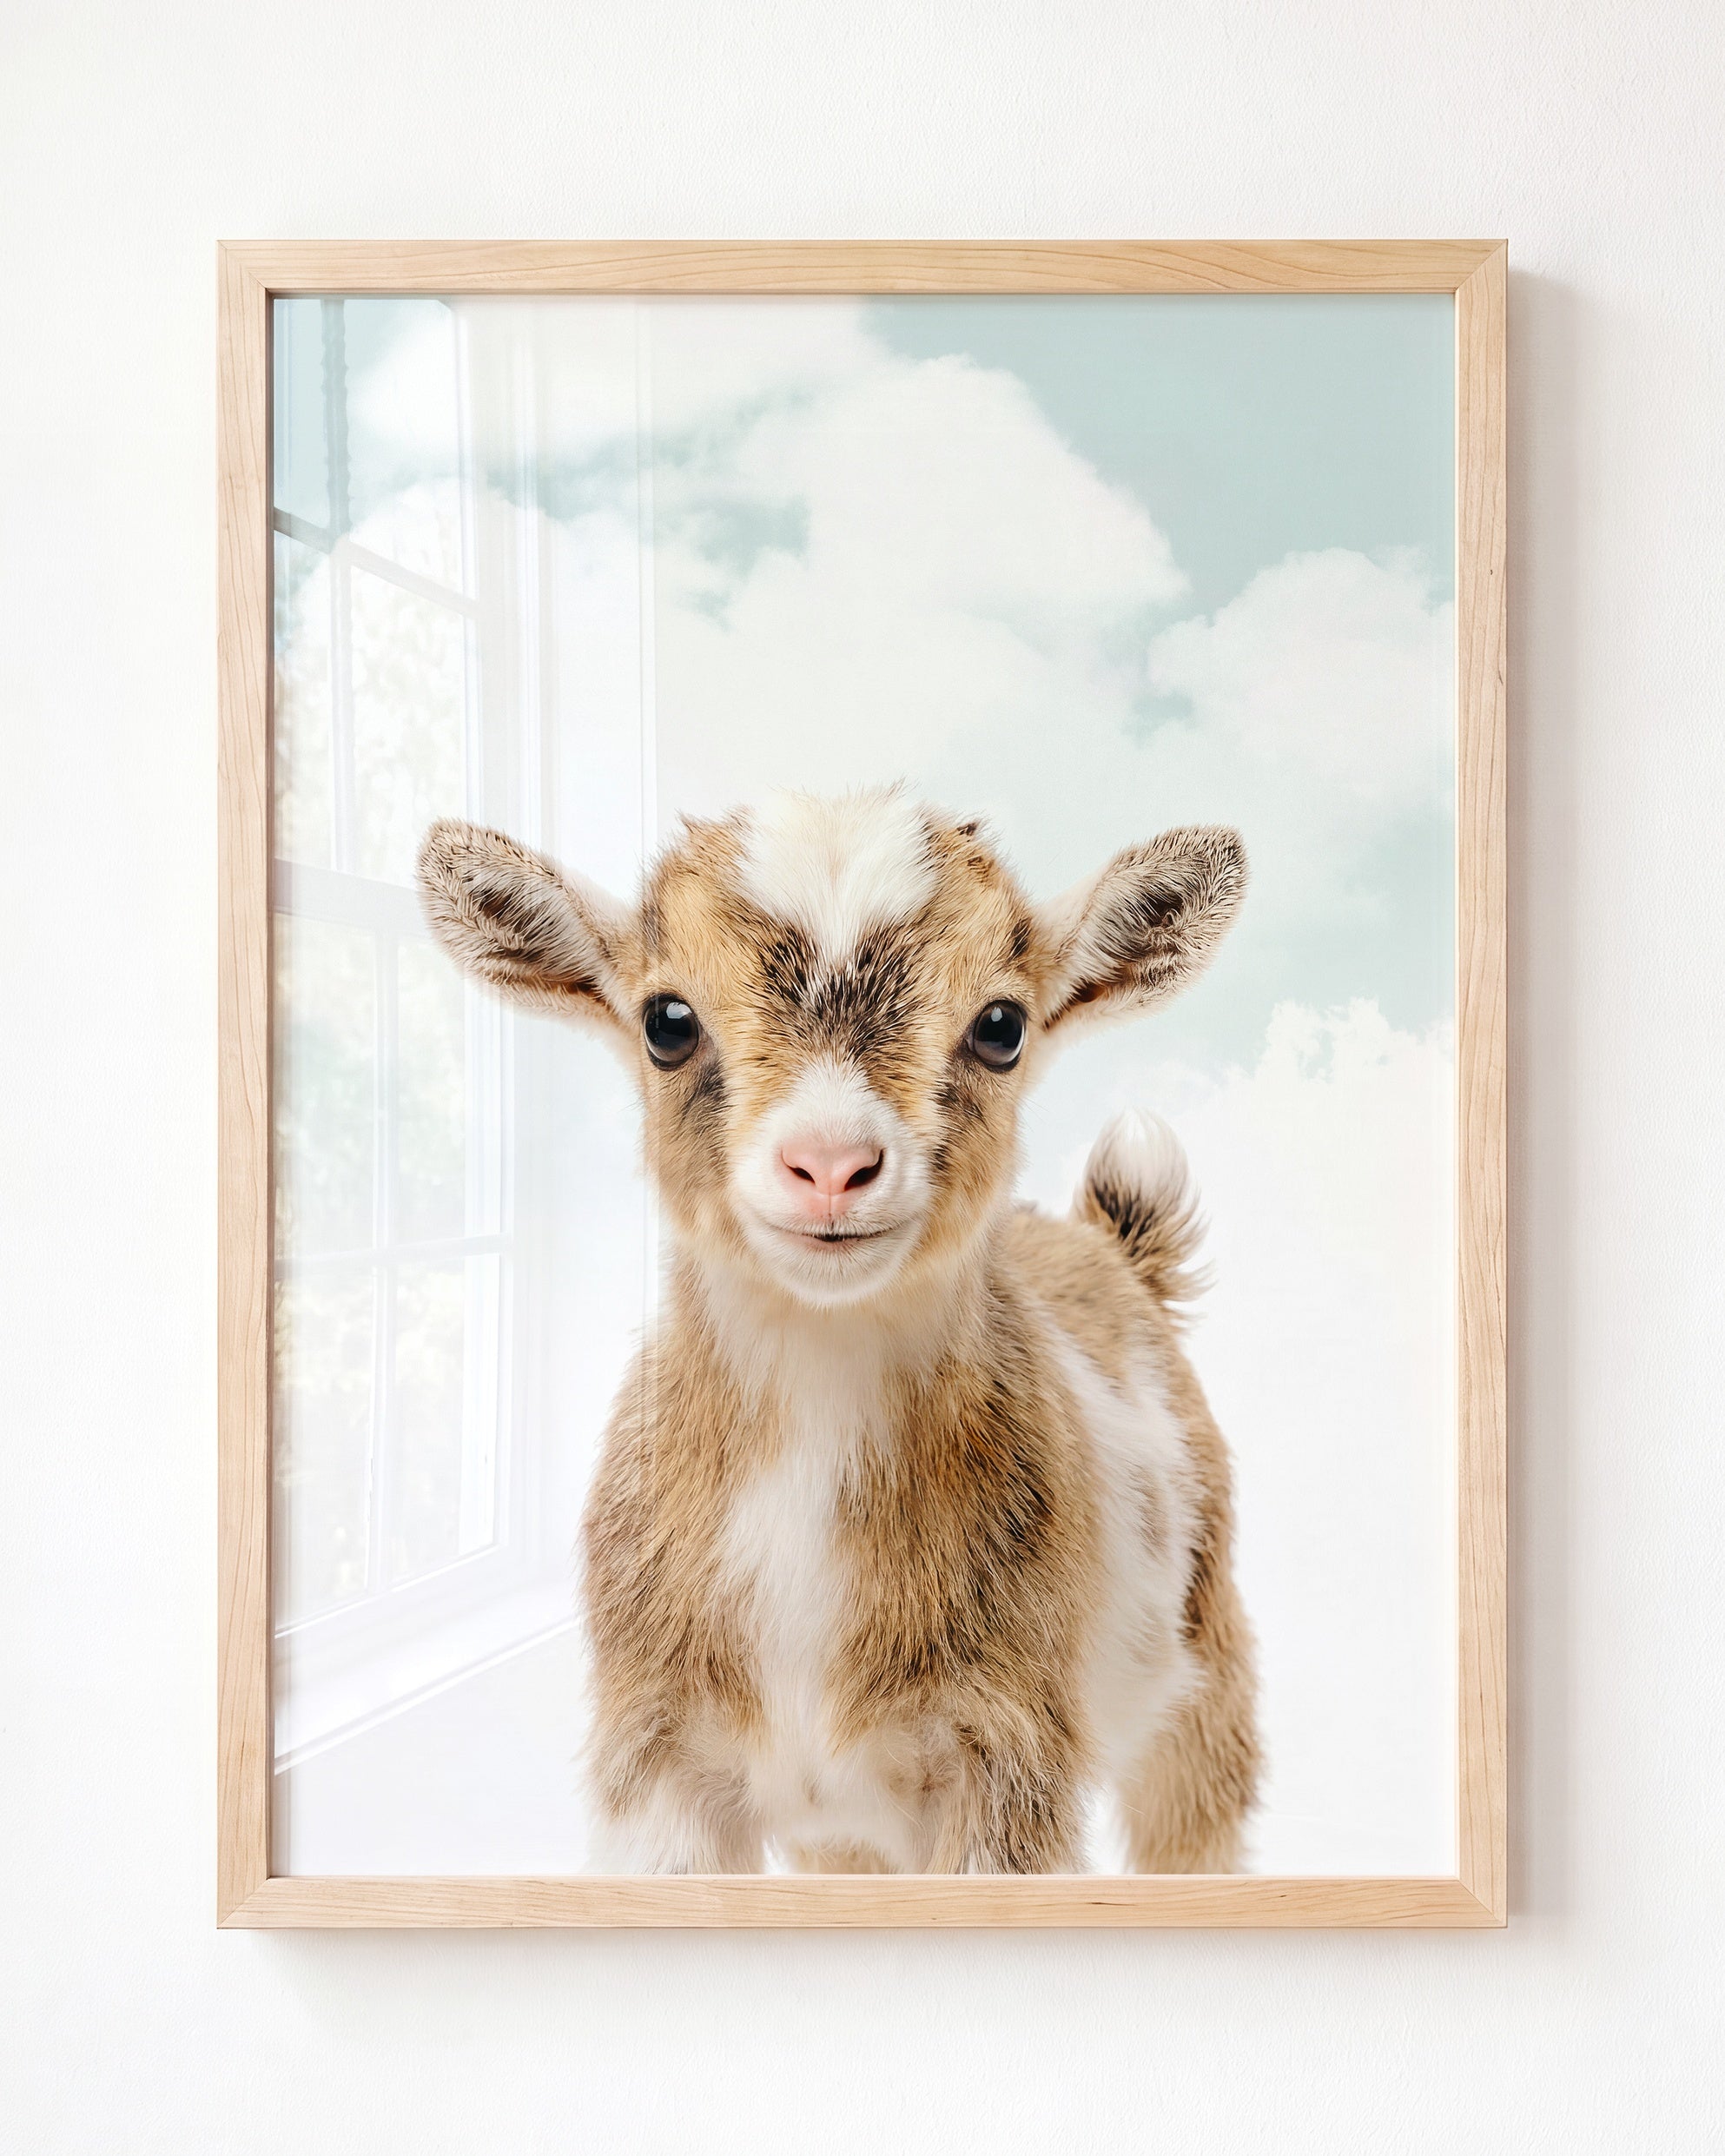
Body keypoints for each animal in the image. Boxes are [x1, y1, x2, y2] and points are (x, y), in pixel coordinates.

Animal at [418, 787, 1259, 1873]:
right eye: (666, 1020)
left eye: (1001, 1025)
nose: (829, 1165)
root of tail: (1113, 1249)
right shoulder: (657, 1761)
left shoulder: (1008, 1758)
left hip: (1206, 1673)